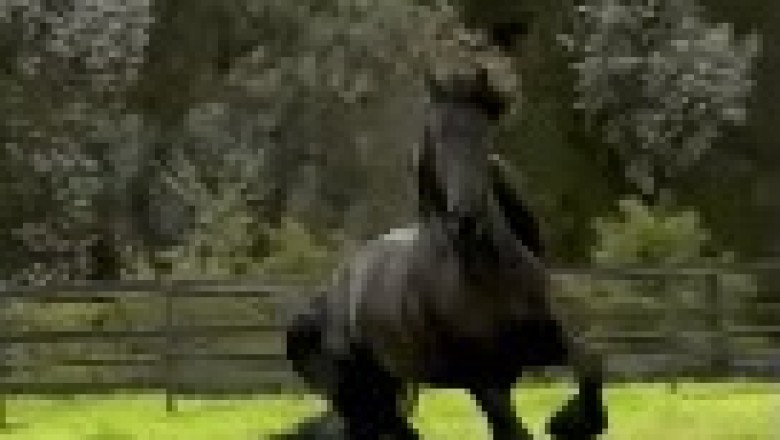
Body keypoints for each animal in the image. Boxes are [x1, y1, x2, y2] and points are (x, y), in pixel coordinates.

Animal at [278, 69, 607, 440]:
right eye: (437, 135)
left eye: (485, 135)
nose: (466, 217)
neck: (486, 277)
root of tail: (326, 298)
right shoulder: (483, 379)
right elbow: (514, 431)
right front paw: (567, 423)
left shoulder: (540, 344)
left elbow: (591, 362)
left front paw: (571, 423)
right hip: (361, 395)